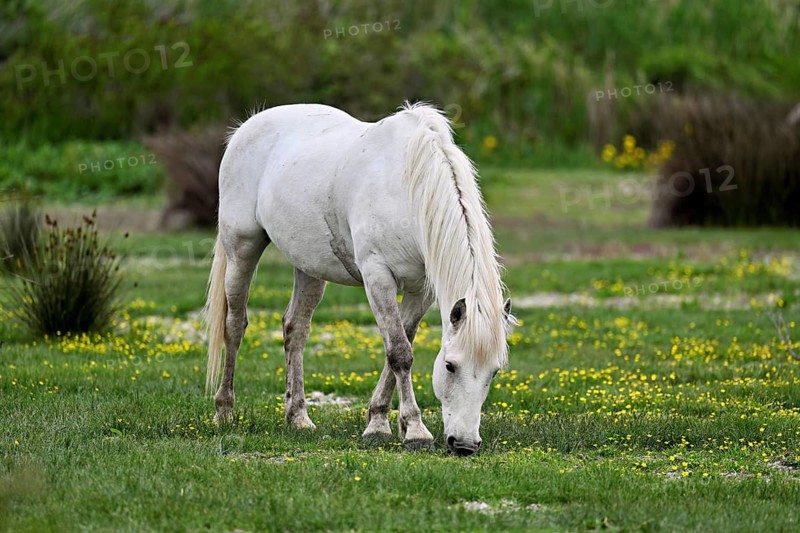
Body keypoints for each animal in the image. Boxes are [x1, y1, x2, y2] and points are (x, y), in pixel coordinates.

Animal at [204, 102, 516, 455]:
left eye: (494, 372)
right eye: (450, 365)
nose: (464, 444)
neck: (410, 189)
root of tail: (246, 127)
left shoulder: (421, 291)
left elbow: (400, 346)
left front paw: (379, 421)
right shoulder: (377, 277)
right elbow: (400, 353)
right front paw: (414, 430)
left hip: (309, 268)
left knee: (295, 329)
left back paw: (298, 417)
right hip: (241, 250)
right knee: (234, 325)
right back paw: (224, 411)